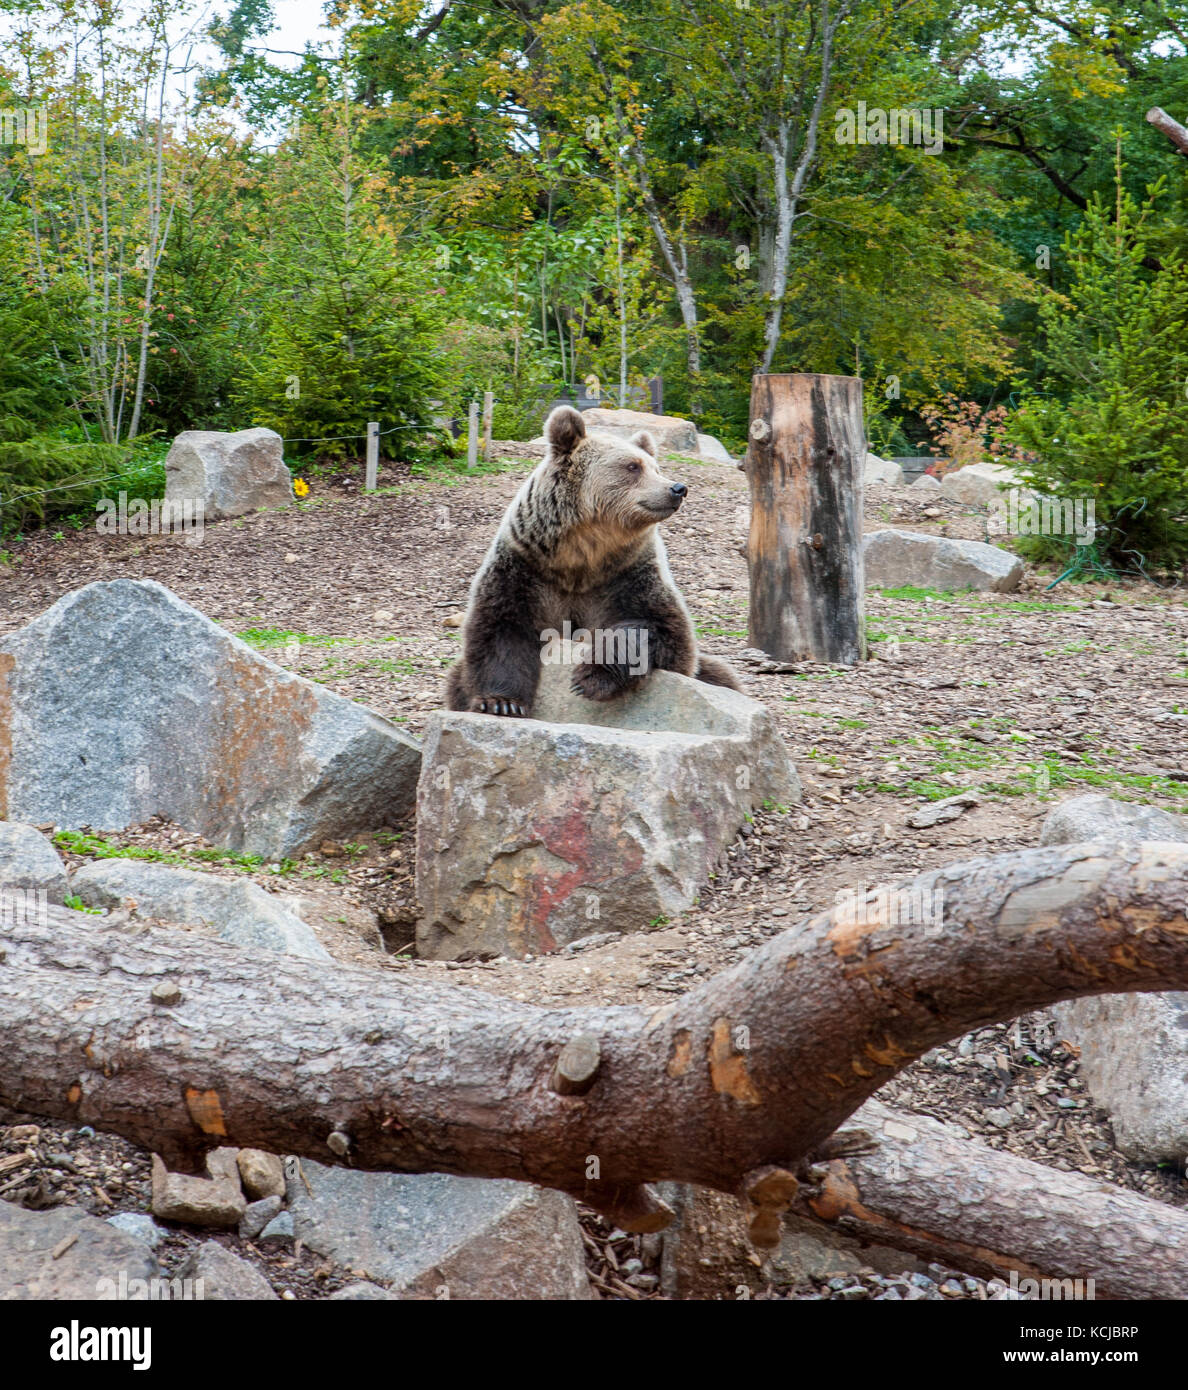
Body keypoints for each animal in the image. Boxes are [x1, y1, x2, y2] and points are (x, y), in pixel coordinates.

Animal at [444, 403, 739, 717]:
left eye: (656, 468)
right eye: (633, 466)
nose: (677, 488)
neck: (582, 555)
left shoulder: (626, 573)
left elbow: (660, 628)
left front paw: (591, 677)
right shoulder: (525, 567)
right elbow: (503, 629)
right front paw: (501, 703)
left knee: (721, 676)